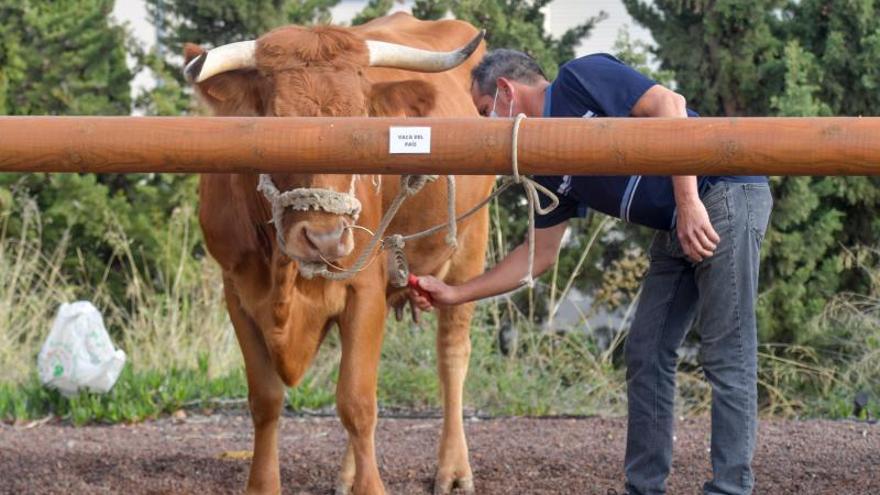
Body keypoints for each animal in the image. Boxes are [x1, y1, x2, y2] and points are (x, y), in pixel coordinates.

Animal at [184, 11, 496, 495]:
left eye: (364, 126)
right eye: (275, 123)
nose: (325, 238)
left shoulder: (363, 287)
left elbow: (357, 401)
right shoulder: (237, 291)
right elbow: (266, 400)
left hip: (468, 249)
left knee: (452, 355)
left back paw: (453, 469)